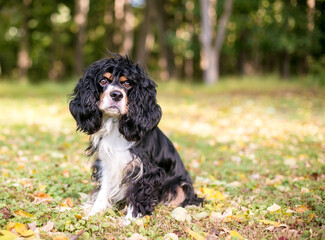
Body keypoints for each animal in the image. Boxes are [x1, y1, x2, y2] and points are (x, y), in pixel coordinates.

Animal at [69, 53, 202, 220]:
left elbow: (139, 194)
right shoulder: (107, 163)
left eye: (127, 83)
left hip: (181, 186)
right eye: (103, 81)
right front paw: (94, 213)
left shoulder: (144, 169)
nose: (116, 95)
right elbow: (103, 190)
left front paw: (132, 219)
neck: (116, 125)